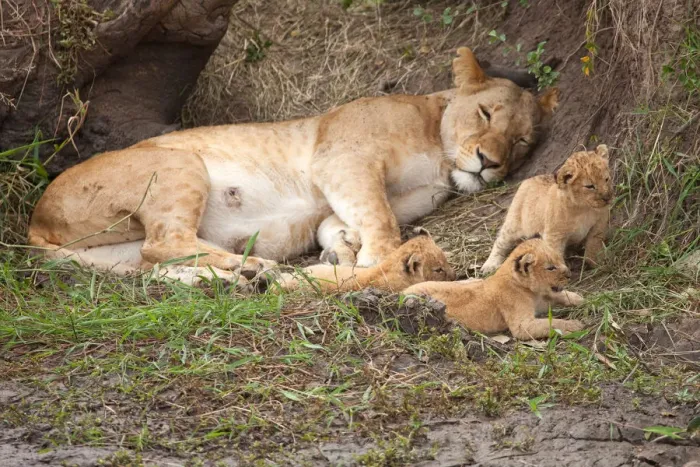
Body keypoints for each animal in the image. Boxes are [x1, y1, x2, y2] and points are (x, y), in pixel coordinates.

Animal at [28, 47, 560, 286]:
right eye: (486, 113)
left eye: (522, 141)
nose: (490, 163)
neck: (440, 153)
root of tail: (36, 220)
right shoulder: (343, 158)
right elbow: (381, 222)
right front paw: (372, 262)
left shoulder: (349, 193)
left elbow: (342, 223)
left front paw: (341, 252)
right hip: (178, 165)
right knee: (164, 242)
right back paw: (253, 266)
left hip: (119, 255)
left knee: (154, 262)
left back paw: (231, 279)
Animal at [404, 238, 584, 340]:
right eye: (551, 267)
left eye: (560, 260)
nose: (570, 274)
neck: (531, 292)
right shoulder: (522, 326)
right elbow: (549, 323)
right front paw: (573, 326)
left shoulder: (542, 299)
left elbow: (559, 295)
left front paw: (580, 299)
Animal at [480, 144, 613, 275]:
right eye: (590, 186)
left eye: (606, 179)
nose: (607, 198)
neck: (583, 208)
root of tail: (528, 179)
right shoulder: (554, 235)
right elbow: (554, 254)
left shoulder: (599, 224)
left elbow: (594, 244)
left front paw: (598, 263)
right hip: (514, 223)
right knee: (500, 241)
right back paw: (489, 265)